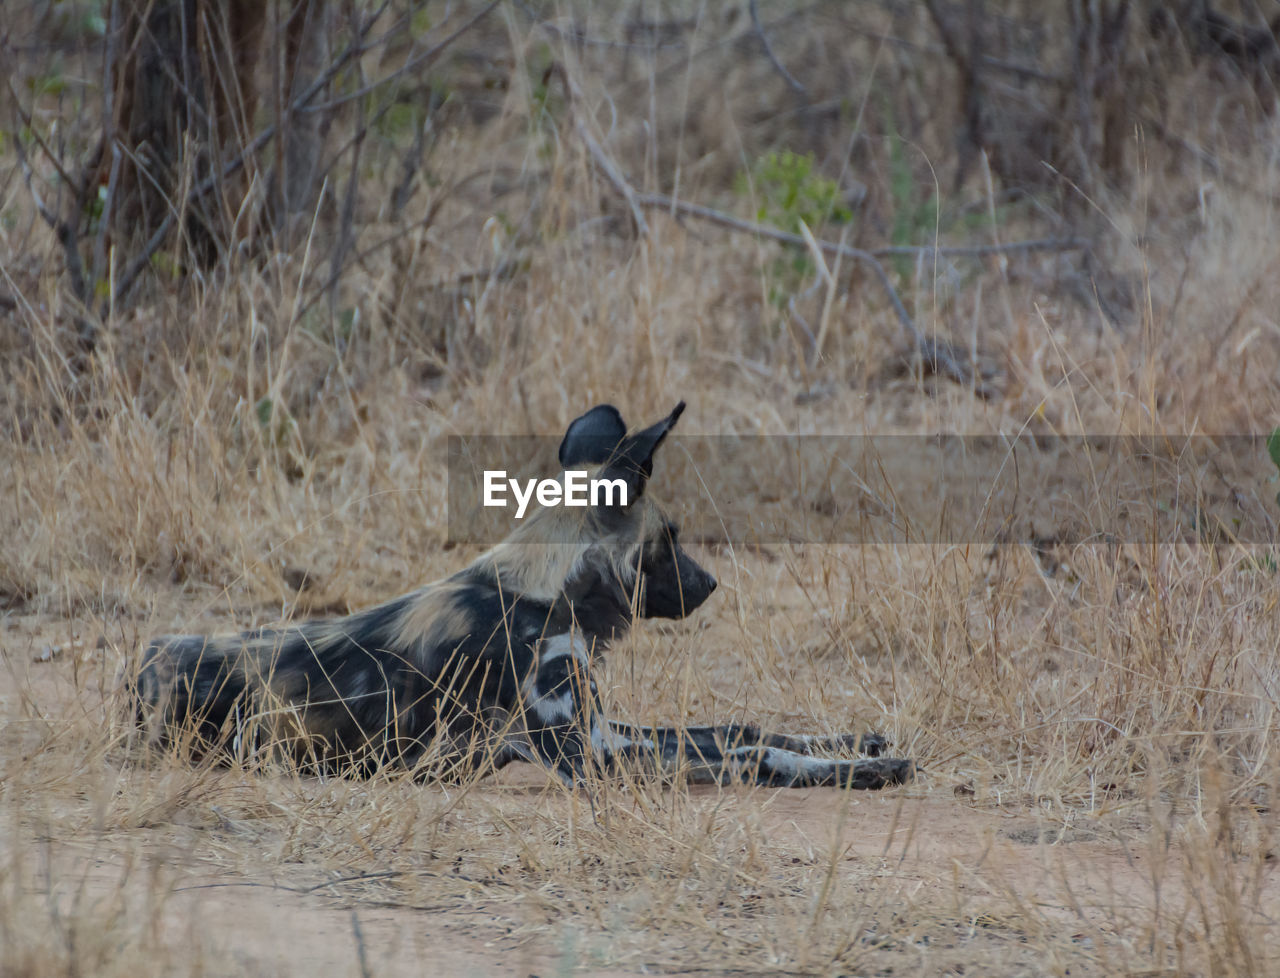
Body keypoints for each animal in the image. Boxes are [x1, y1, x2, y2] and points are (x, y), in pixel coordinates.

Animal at [135, 401, 916, 788]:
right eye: (670, 538)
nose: (711, 584)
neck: (545, 593)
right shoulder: (589, 756)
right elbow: (753, 756)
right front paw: (865, 769)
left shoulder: (603, 728)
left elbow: (741, 728)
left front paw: (857, 742)